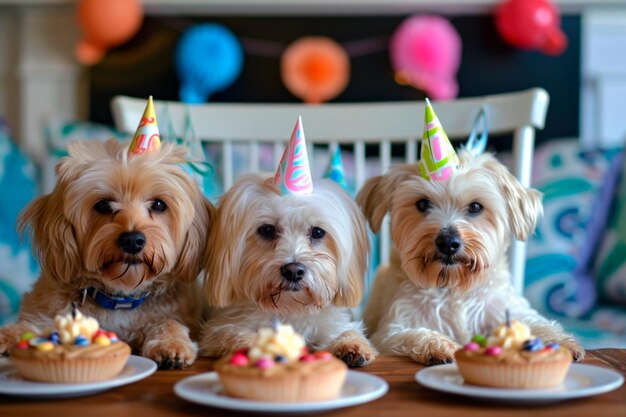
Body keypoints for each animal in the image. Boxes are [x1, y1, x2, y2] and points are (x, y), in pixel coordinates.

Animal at [0, 140, 213, 368]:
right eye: (103, 204)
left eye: (158, 204)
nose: (132, 241)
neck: (120, 298)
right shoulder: (46, 309)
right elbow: (32, 324)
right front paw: (8, 335)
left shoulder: (177, 313)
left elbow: (170, 323)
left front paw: (171, 344)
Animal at [200, 174, 376, 366]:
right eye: (267, 229)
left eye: (318, 232)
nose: (293, 271)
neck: (289, 309)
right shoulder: (218, 329)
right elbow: (231, 333)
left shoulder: (330, 325)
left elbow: (346, 331)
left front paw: (349, 344)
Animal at [358, 150, 584, 364]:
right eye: (422, 204)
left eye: (475, 207)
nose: (448, 242)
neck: (454, 287)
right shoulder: (390, 331)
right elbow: (415, 334)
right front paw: (439, 345)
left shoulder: (508, 310)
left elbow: (538, 324)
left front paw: (559, 342)